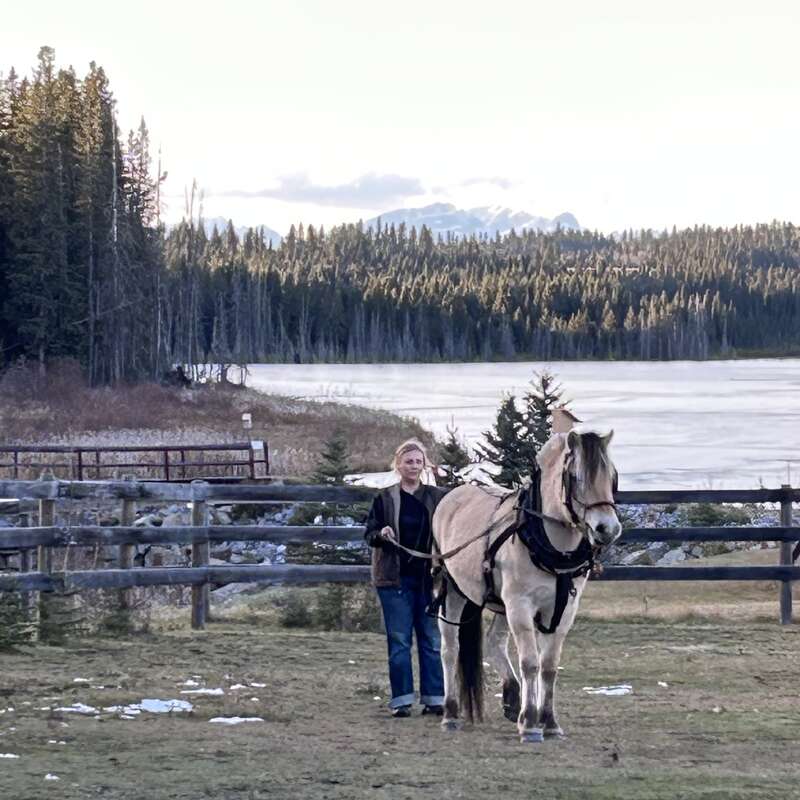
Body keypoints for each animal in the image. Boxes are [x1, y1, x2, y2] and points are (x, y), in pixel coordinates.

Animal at [431, 428, 621, 742]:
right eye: (575, 477)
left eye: (613, 475)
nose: (608, 528)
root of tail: (453, 495)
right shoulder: (520, 605)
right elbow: (531, 662)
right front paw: (531, 723)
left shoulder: (562, 610)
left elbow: (549, 666)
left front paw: (550, 722)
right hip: (454, 592)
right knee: (450, 648)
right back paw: (450, 713)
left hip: (499, 603)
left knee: (494, 641)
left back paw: (511, 697)